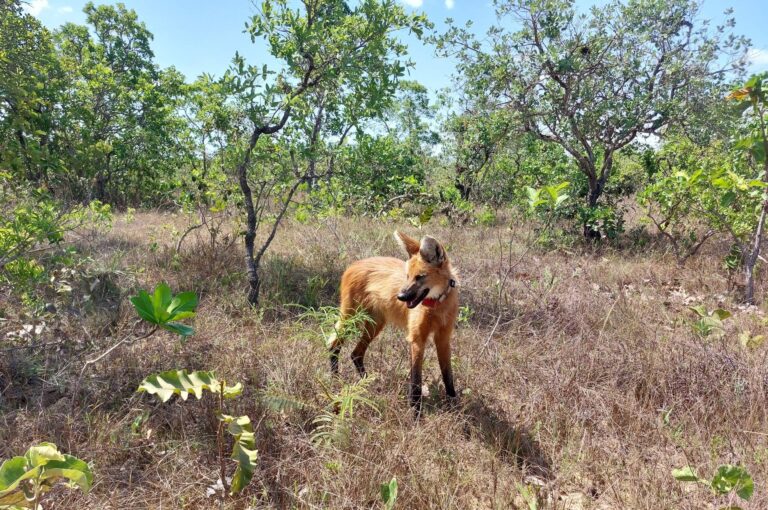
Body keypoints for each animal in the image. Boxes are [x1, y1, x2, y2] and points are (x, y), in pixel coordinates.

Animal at [328, 231, 460, 410]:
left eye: (420, 277)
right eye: (408, 276)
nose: (401, 297)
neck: (437, 304)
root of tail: (354, 263)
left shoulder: (443, 339)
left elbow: (448, 376)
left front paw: (454, 406)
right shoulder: (417, 340)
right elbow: (416, 382)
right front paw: (415, 412)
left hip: (375, 324)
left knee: (356, 353)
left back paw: (368, 383)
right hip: (352, 317)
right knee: (334, 343)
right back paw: (336, 380)